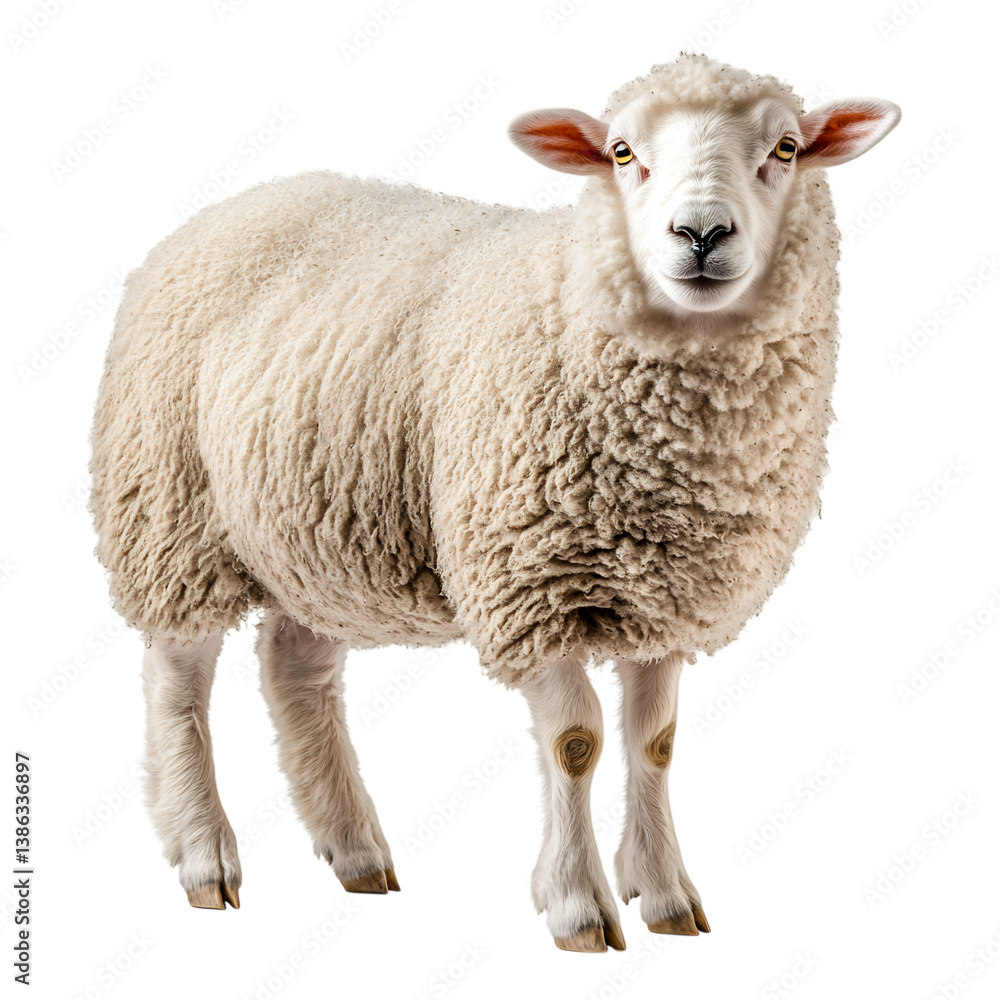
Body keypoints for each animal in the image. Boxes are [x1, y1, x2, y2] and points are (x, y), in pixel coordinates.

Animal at [89, 53, 900, 952]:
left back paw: (355, 849)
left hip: (315, 527)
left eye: (786, 148)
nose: (700, 235)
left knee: (295, 670)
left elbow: (654, 743)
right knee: (177, 679)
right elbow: (577, 741)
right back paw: (205, 856)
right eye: (622, 153)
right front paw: (578, 904)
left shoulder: (665, 595)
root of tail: (228, 207)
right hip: (169, 510)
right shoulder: (527, 585)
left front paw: (663, 894)